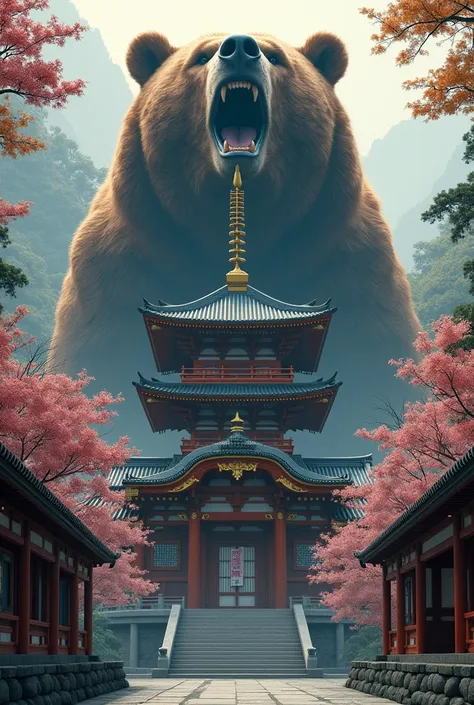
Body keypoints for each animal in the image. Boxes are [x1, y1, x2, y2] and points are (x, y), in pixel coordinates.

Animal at [50, 30, 420, 454]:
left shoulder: (347, 261)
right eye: (201, 57)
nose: (240, 48)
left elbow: (378, 357)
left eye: (276, 57)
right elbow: (96, 355)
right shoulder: (122, 263)